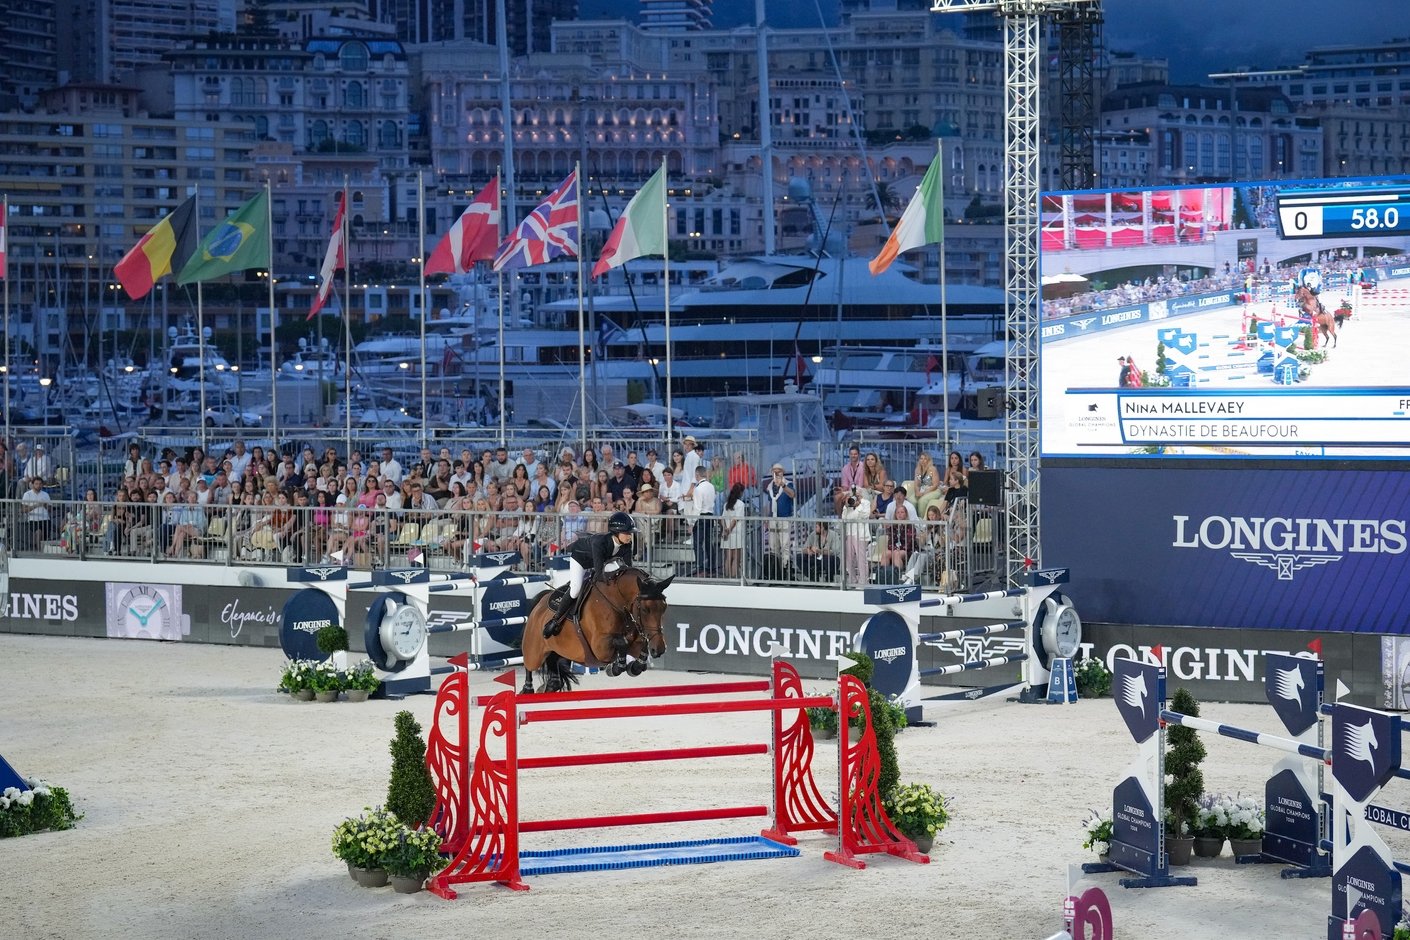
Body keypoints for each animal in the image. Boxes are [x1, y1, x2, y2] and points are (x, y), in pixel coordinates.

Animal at [518, 566, 671, 690]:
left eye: (664, 607)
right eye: (645, 609)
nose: (659, 649)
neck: (617, 602)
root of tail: (541, 602)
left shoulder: (634, 643)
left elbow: (639, 656)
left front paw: (632, 666)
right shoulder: (600, 647)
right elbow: (621, 642)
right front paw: (615, 667)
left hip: (559, 651)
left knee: (553, 677)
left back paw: (548, 686)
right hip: (534, 650)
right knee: (529, 664)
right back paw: (527, 688)